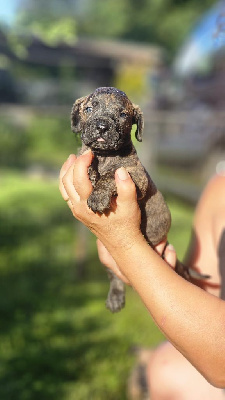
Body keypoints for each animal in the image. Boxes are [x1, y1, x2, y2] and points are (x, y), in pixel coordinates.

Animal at [59, 152, 225, 390]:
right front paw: (90, 171)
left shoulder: (133, 177)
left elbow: (110, 177)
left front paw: (98, 191)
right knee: (114, 276)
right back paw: (115, 297)